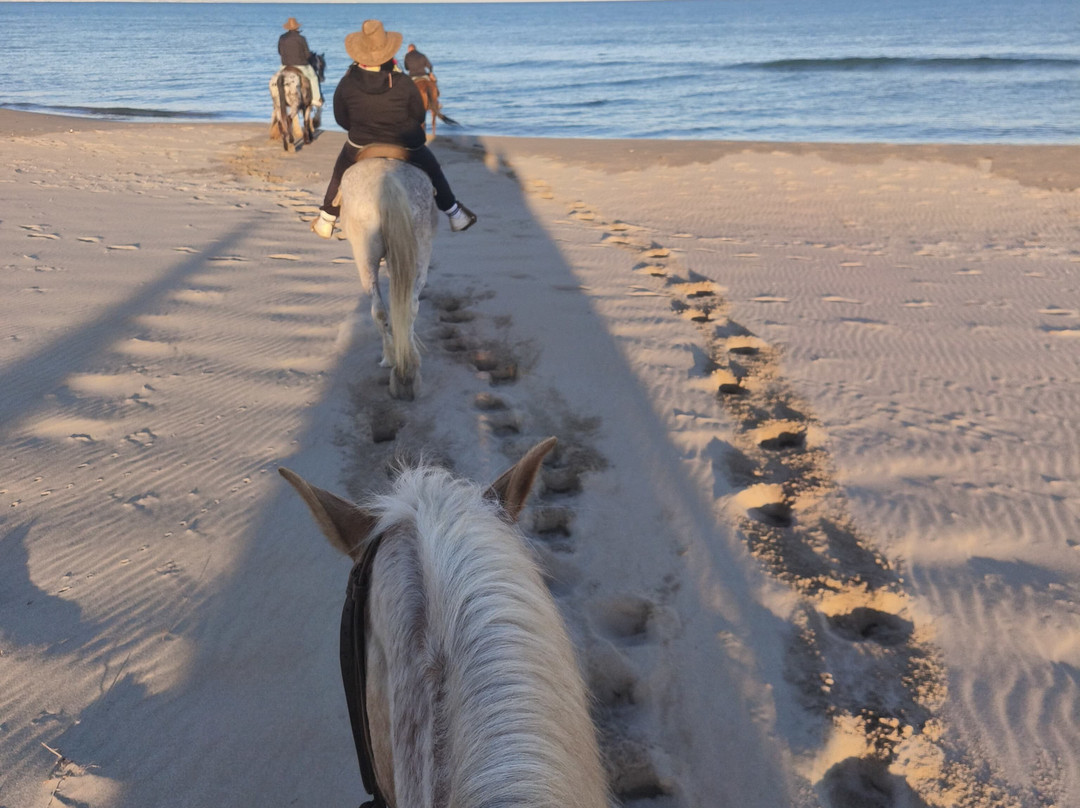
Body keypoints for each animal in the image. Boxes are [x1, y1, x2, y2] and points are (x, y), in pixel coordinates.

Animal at [337, 154, 438, 400]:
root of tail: (388, 180)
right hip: (419, 252)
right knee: (408, 306)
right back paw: (408, 369)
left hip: (364, 256)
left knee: (379, 310)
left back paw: (392, 360)